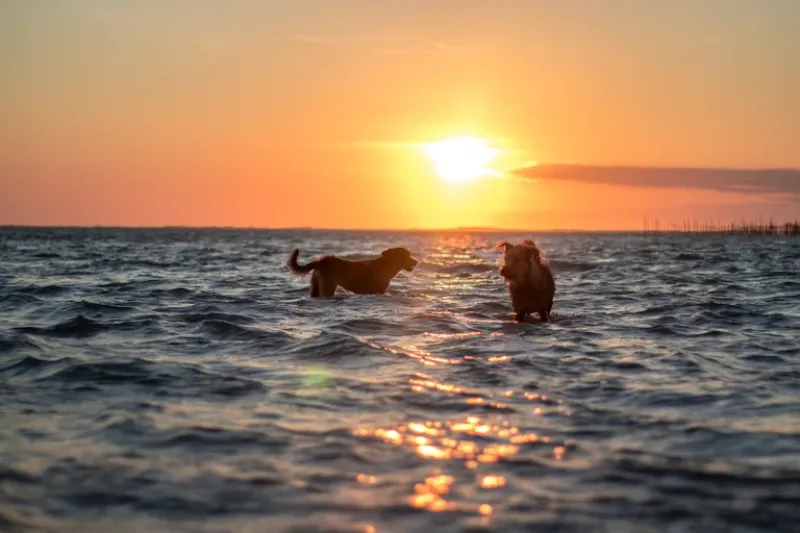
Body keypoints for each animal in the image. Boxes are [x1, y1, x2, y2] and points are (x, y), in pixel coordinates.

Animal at [288, 247, 418, 298]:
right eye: (408, 256)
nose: (416, 262)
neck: (387, 264)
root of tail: (321, 261)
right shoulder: (378, 291)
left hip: (315, 287)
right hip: (328, 287)